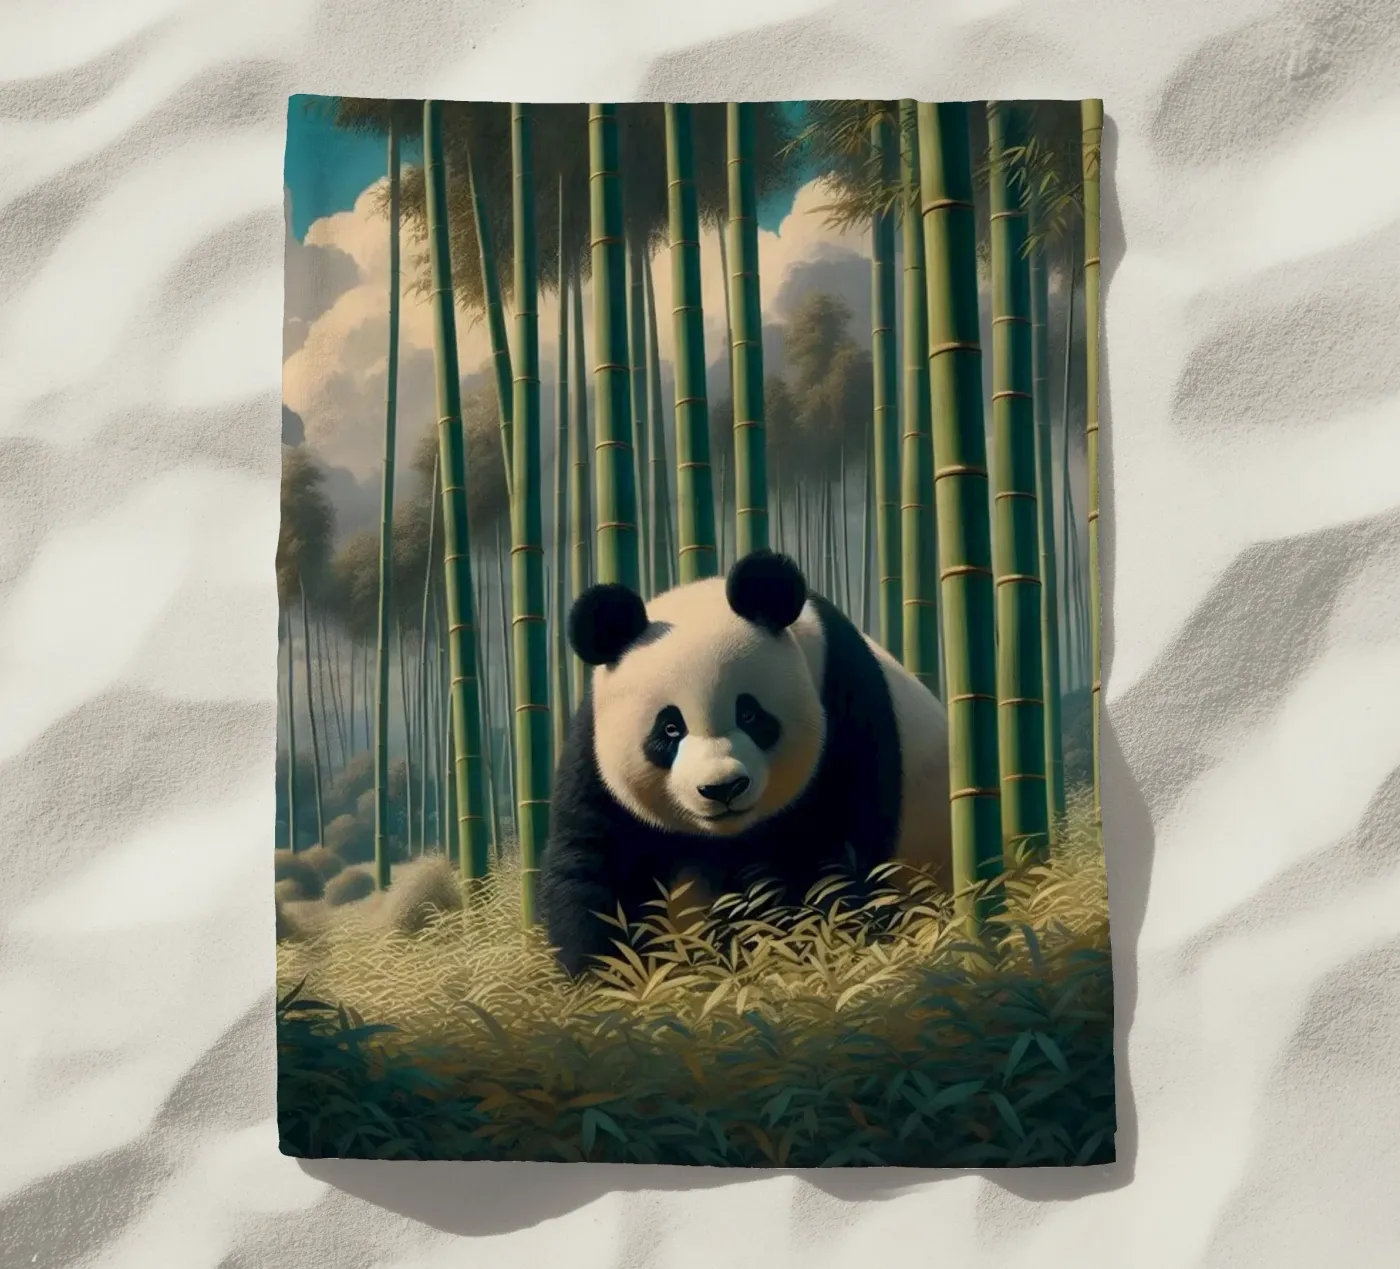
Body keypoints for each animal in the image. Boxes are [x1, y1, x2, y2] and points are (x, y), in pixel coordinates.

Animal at [539, 549, 951, 976]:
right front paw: (611, 975)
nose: (722, 788)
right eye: (670, 729)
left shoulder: (845, 709)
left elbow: (831, 855)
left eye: (750, 715)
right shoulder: (595, 753)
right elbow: (596, 861)